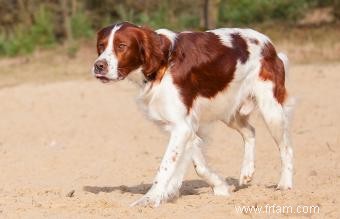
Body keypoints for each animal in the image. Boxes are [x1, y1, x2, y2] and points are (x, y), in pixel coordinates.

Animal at [91, 21, 294, 207]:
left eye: (121, 46)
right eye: (101, 46)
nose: (98, 66)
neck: (163, 63)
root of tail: (270, 46)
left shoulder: (181, 127)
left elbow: (165, 167)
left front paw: (149, 199)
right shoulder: (185, 126)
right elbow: (199, 165)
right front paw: (220, 187)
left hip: (271, 110)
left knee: (286, 148)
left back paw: (285, 184)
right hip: (230, 111)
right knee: (250, 131)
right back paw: (246, 172)